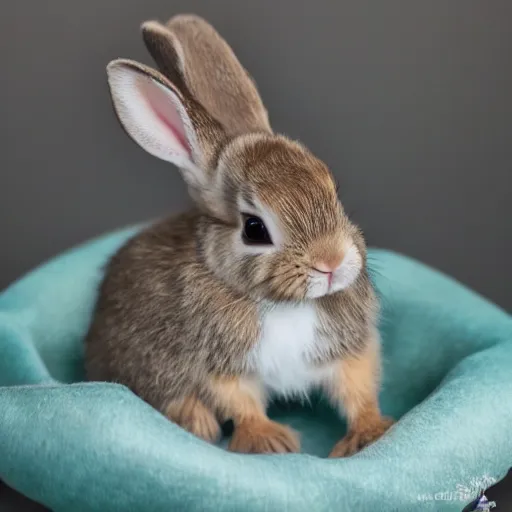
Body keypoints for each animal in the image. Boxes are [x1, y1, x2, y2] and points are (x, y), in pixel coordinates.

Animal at [86, 14, 394, 456]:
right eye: (254, 229)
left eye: (332, 190)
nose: (332, 262)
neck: (285, 304)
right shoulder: (220, 368)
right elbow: (241, 404)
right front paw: (270, 442)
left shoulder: (347, 352)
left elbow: (358, 391)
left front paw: (370, 434)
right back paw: (197, 422)